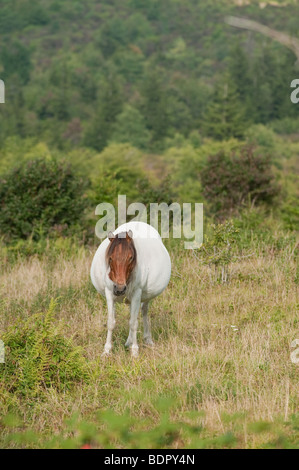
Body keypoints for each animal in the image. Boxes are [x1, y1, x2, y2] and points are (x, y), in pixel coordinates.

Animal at [90, 220, 172, 356]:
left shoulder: (137, 293)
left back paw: (147, 339)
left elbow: (134, 323)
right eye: (110, 258)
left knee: (143, 311)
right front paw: (106, 350)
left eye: (131, 257)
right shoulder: (109, 293)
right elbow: (111, 322)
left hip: (145, 297)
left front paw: (134, 351)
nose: (120, 289)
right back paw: (128, 341)